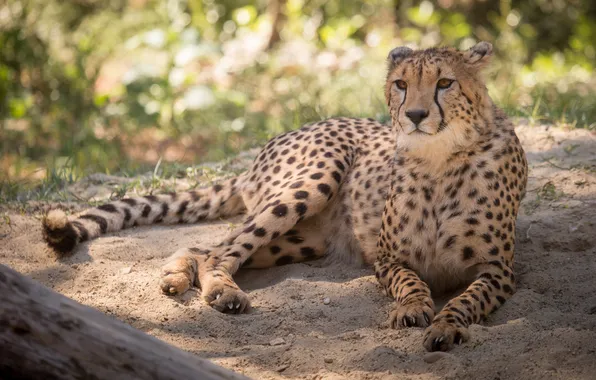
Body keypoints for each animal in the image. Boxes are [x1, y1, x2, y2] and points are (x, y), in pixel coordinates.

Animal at [43, 40, 528, 350]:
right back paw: (223, 294)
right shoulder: (390, 260)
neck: (440, 158)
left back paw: (178, 278)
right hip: (311, 183)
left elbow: (466, 299)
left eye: (445, 83)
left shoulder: (498, 269)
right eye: (401, 85)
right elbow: (410, 283)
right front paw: (412, 309)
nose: (415, 115)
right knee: (219, 251)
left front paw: (446, 326)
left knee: (204, 246)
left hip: (305, 238)